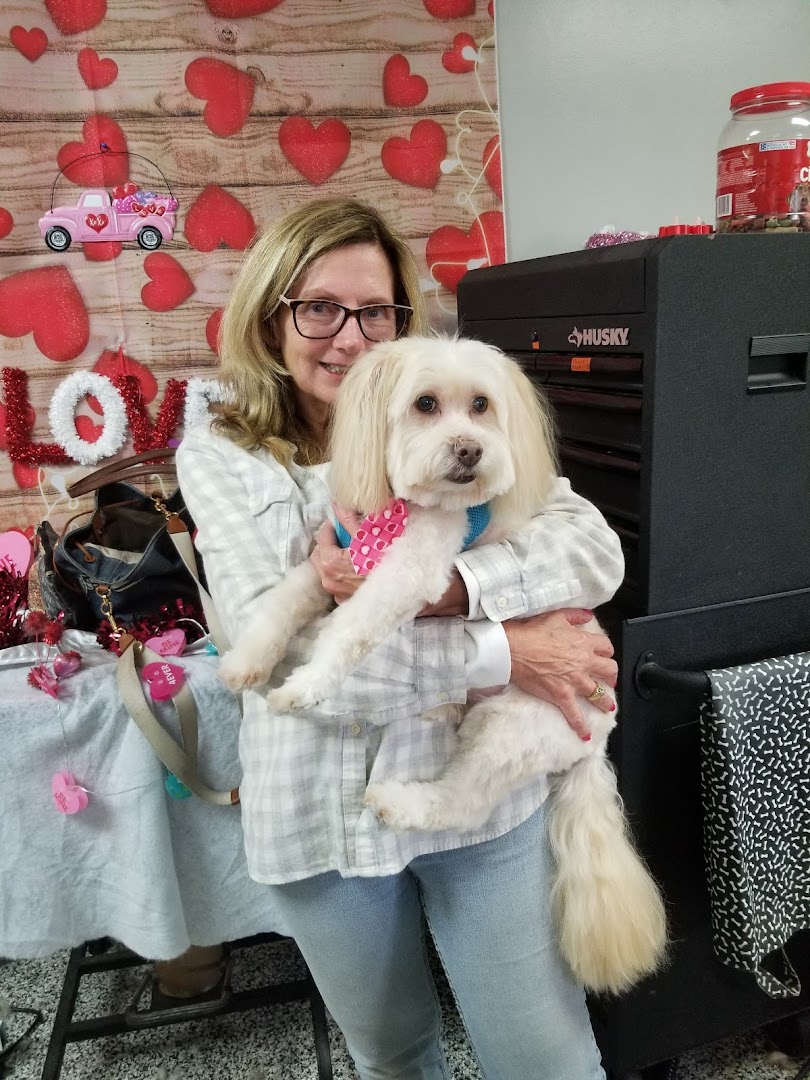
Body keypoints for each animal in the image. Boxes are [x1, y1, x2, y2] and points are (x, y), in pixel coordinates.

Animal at [219, 332, 669, 989]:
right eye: (425, 404)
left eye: (481, 405)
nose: (469, 450)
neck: (401, 508)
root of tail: (596, 743)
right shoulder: (330, 563)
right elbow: (281, 602)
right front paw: (247, 661)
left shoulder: (407, 572)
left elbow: (349, 631)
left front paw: (306, 685)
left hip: (509, 727)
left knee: (462, 802)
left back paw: (399, 799)